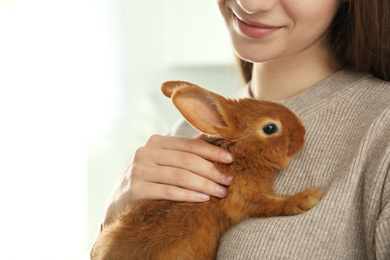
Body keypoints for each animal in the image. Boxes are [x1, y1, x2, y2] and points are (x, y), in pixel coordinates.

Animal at [90, 80, 322, 258]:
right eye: (270, 128)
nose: (302, 133)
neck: (240, 155)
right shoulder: (243, 197)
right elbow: (273, 204)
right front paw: (308, 197)